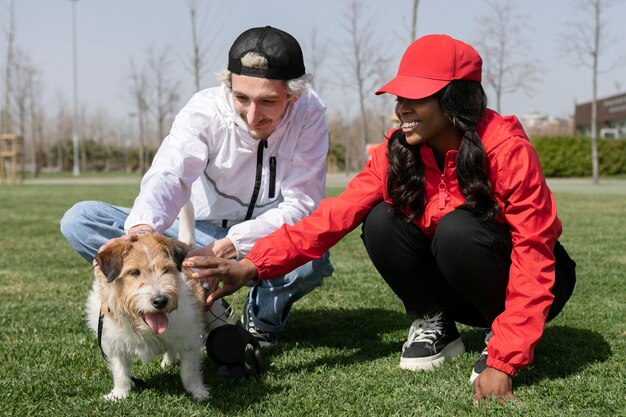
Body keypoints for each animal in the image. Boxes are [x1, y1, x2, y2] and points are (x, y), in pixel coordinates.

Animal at [85, 202, 234, 400]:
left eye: (166, 270)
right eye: (134, 272)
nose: (160, 301)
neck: (142, 326)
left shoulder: (189, 339)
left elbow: (189, 372)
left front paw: (197, 391)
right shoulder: (113, 345)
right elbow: (120, 371)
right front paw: (119, 394)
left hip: (215, 316)